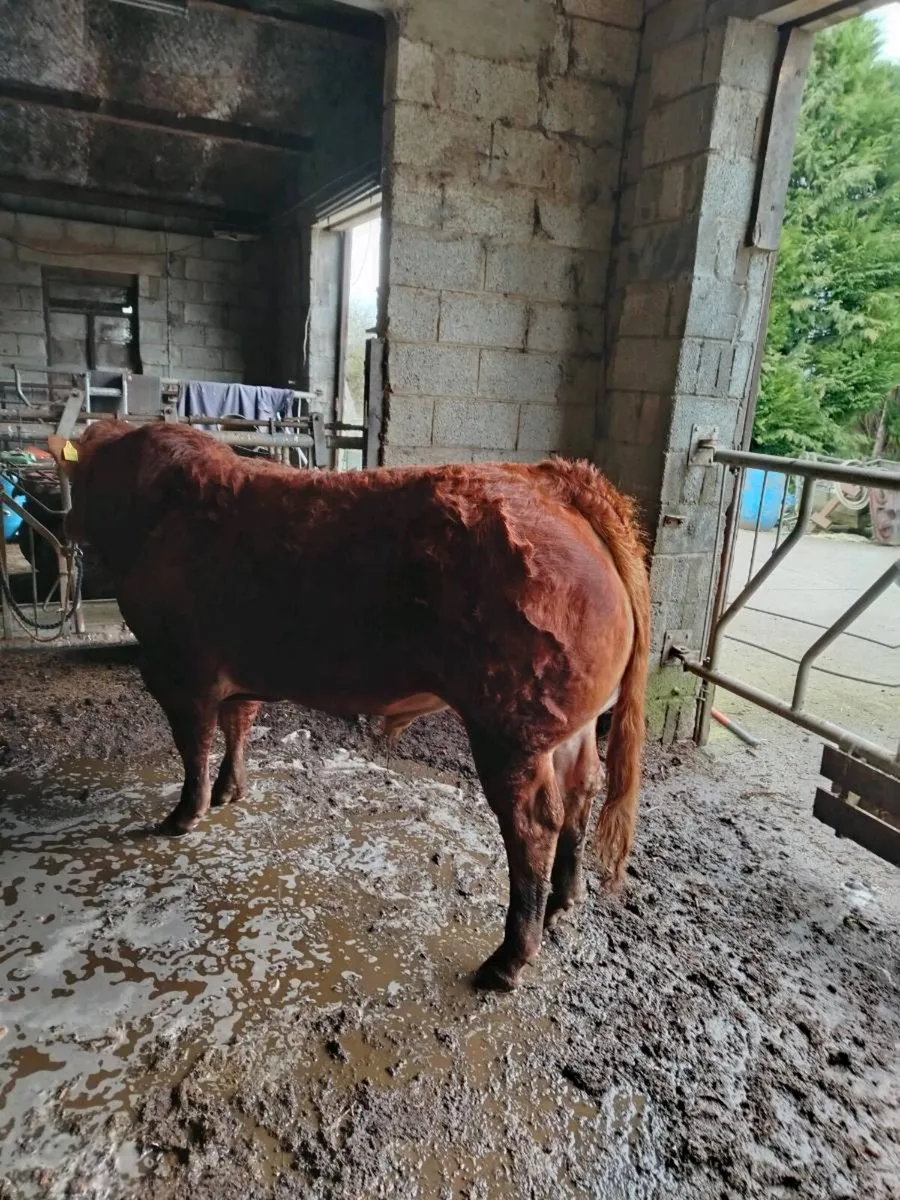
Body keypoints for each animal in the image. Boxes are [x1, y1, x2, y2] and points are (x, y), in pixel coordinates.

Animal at [48, 421, 650, 991]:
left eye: (78, 476)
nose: (66, 524)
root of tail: (548, 479)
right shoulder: (238, 672)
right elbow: (237, 723)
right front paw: (229, 790)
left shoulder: (178, 668)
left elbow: (193, 746)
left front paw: (184, 815)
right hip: (570, 726)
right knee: (582, 790)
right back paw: (564, 902)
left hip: (509, 730)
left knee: (535, 824)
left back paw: (508, 959)